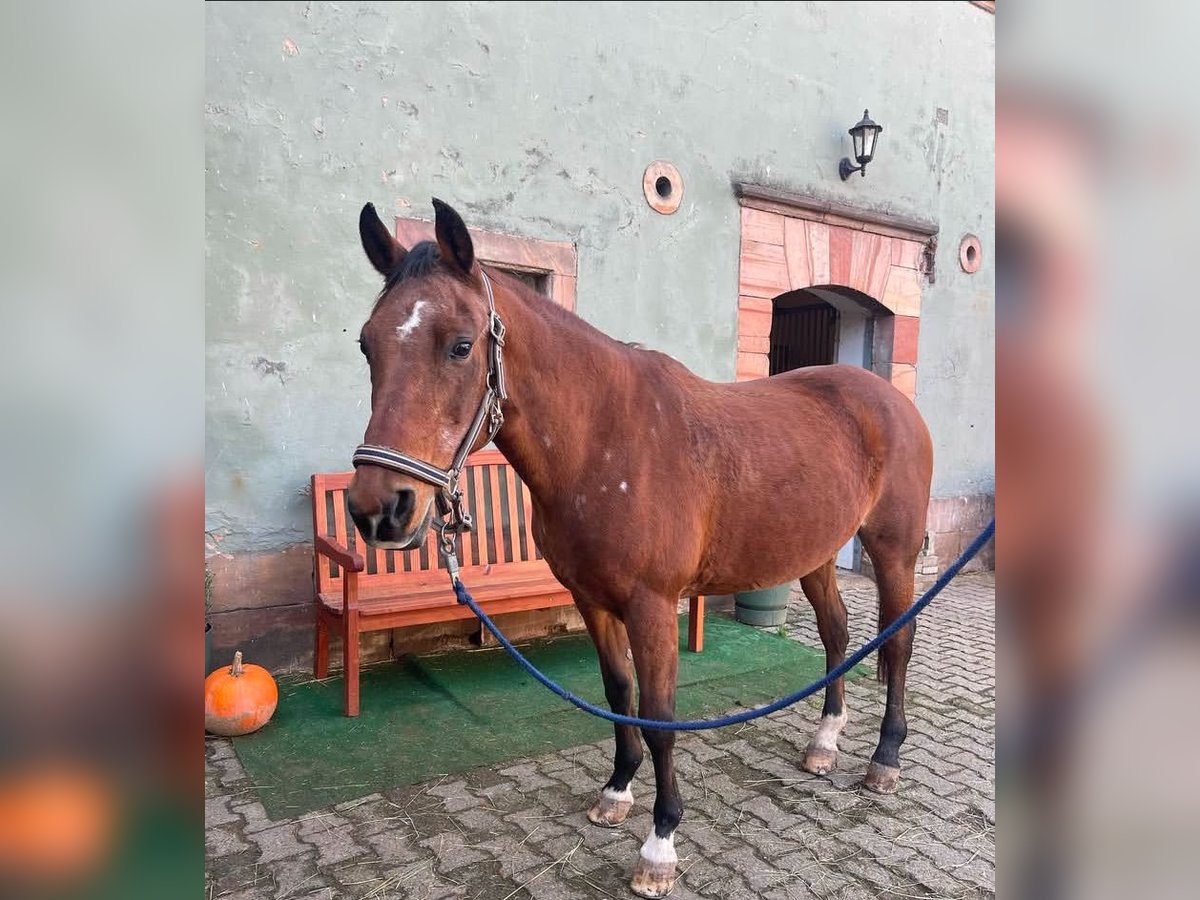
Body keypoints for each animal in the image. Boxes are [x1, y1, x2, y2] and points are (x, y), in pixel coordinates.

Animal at [343, 200, 931, 897]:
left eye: (461, 345)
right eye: (367, 344)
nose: (379, 509)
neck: (604, 438)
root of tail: (890, 398)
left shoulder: (653, 606)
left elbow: (659, 715)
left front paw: (660, 843)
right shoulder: (594, 600)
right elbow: (619, 692)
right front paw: (617, 792)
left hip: (893, 552)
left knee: (897, 644)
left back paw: (885, 757)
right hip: (813, 554)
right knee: (838, 635)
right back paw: (825, 742)